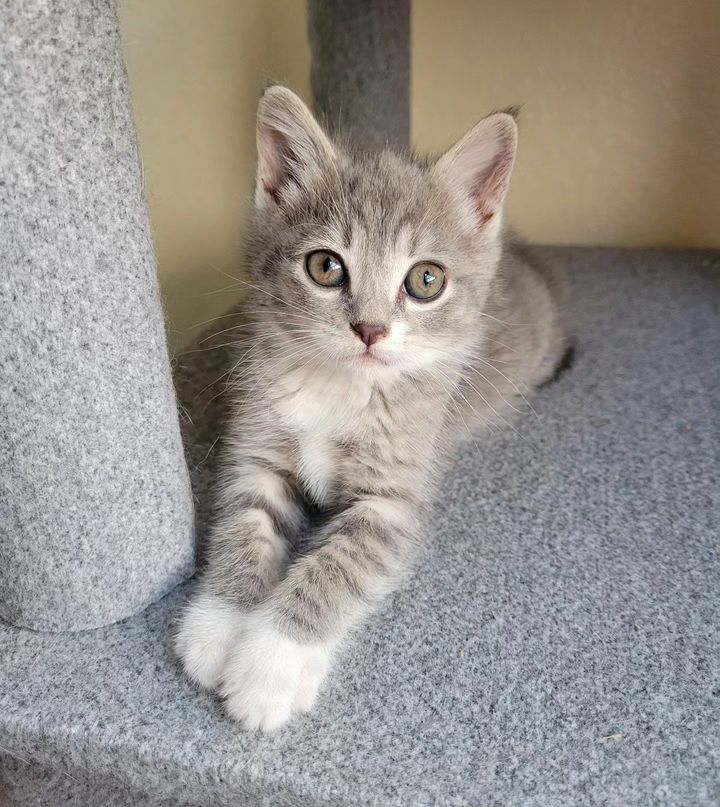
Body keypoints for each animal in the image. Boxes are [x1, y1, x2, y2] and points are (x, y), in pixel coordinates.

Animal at [174, 85, 568, 728]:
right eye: (326, 266)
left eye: (426, 279)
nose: (370, 329)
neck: (339, 389)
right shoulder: (257, 453)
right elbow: (243, 526)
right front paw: (218, 626)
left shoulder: (394, 498)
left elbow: (338, 564)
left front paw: (270, 666)